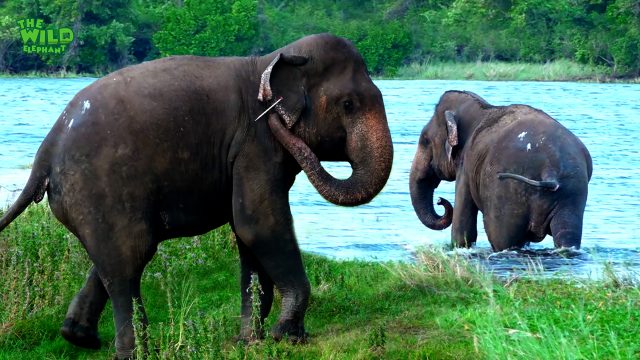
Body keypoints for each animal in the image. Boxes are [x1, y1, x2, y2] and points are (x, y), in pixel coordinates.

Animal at [0, 33, 396, 358]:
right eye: (348, 105)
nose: (281, 333)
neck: (270, 61)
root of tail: (46, 153)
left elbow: (248, 234)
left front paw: (250, 342)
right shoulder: (254, 144)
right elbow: (259, 224)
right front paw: (287, 336)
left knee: (115, 258)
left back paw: (79, 337)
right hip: (98, 187)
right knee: (130, 260)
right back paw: (137, 352)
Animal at [410, 90, 592, 252]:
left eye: (425, 140)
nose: (440, 200)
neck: (483, 109)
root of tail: (549, 170)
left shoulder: (466, 165)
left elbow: (463, 229)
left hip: (506, 193)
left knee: (501, 239)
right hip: (572, 192)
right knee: (567, 235)